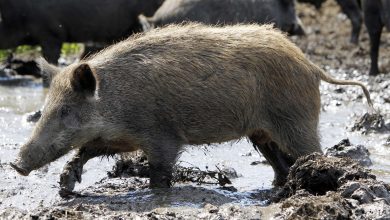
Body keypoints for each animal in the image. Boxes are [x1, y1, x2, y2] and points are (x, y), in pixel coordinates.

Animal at [11, 23, 372, 193]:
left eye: (64, 111)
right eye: (45, 108)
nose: (15, 163)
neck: (115, 100)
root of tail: (310, 64)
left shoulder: (162, 136)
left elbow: (159, 172)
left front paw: (157, 192)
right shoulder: (120, 138)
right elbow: (86, 148)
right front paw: (65, 186)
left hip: (296, 120)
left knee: (313, 152)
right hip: (261, 132)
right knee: (280, 164)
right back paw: (278, 188)